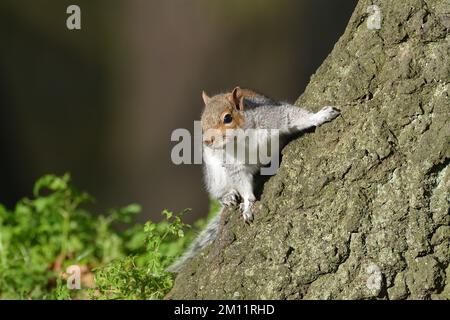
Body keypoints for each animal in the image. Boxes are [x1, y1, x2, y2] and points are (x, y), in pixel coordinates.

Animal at [167, 87, 340, 272]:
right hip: (215, 173)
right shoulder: (234, 166)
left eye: (227, 118)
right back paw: (227, 196)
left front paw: (320, 115)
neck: (242, 137)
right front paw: (248, 205)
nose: (206, 141)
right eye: (202, 123)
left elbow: (293, 116)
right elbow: (243, 186)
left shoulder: (274, 117)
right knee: (219, 189)